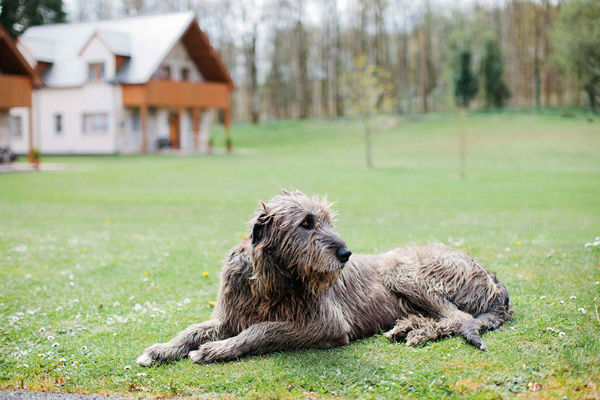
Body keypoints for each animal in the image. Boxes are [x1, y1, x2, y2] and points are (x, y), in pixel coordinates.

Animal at [136, 190, 510, 366]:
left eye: (328, 221)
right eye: (306, 223)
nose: (346, 254)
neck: (271, 283)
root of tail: (493, 279)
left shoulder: (327, 324)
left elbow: (263, 330)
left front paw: (216, 349)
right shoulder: (230, 315)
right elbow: (192, 329)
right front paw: (161, 349)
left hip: (403, 271)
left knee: (457, 318)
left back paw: (418, 331)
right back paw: (409, 327)